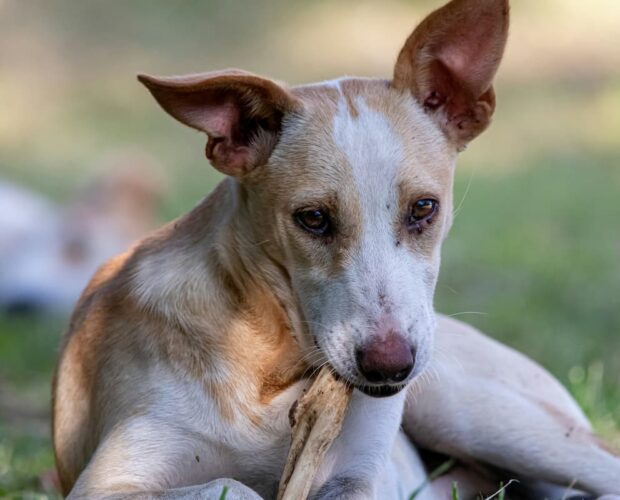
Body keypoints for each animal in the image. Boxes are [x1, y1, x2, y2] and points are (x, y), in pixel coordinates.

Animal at [53, 1, 620, 498]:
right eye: (313, 219)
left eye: (424, 208)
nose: (389, 367)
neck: (270, 358)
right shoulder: (106, 483)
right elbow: (233, 485)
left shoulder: (357, 474)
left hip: (466, 405)